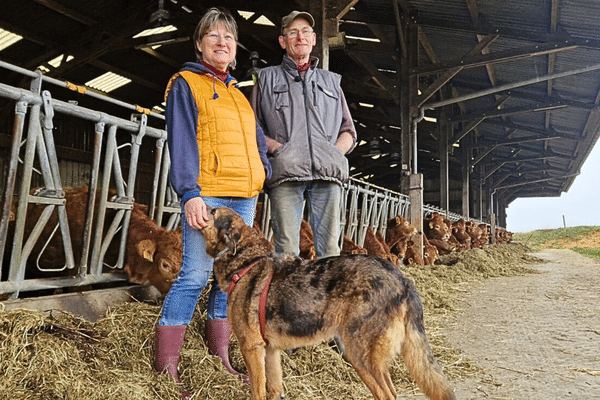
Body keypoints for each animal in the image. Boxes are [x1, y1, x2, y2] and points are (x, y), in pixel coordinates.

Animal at [202, 206, 454, 400]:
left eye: (212, 211)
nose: (197, 200)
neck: (246, 261)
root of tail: (403, 279)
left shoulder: (252, 347)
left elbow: (257, 391)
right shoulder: (270, 352)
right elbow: (273, 390)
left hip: (361, 356)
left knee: (386, 395)